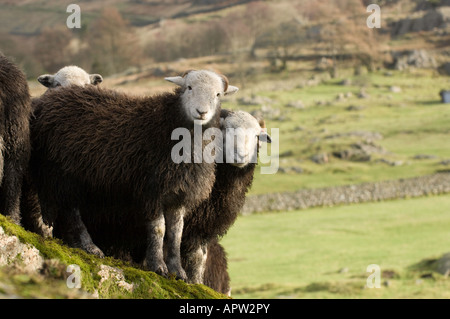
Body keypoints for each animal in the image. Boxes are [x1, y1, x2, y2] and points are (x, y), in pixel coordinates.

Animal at [28, 70, 239, 280]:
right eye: (189, 87)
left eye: (218, 95)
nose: (201, 112)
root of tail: (50, 100)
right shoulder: (151, 189)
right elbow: (159, 228)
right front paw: (158, 265)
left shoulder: (178, 195)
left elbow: (176, 234)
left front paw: (177, 270)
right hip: (61, 172)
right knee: (72, 211)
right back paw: (89, 246)